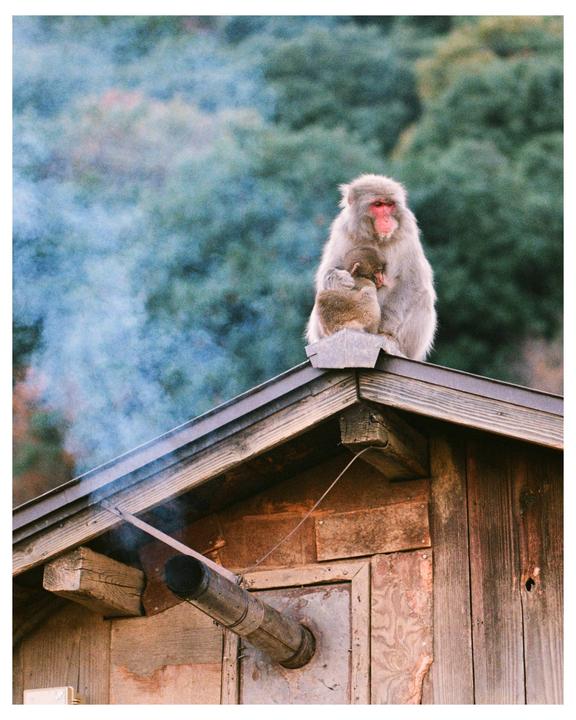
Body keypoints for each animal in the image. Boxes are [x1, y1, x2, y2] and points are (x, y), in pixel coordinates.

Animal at [306, 174, 436, 360]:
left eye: (389, 205)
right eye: (378, 205)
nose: (387, 219)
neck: (376, 237)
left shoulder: (408, 231)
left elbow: (411, 282)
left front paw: (386, 329)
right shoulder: (343, 229)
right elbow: (328, 271)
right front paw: (339, 279)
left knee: (422, 296)